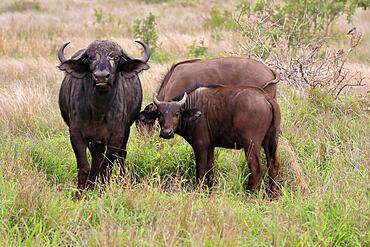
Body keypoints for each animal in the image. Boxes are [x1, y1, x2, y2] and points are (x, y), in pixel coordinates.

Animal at [57, 40, 150, 195]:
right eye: (90, 57)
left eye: (116, 57)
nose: (101, 77)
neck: (98, 111)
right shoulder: (76, 134)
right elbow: (84, 166)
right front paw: (80, 194)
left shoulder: (116, 136)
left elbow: (106, 166)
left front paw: (102, 191)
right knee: (96, 159)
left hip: (125, 133)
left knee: (120, 156)